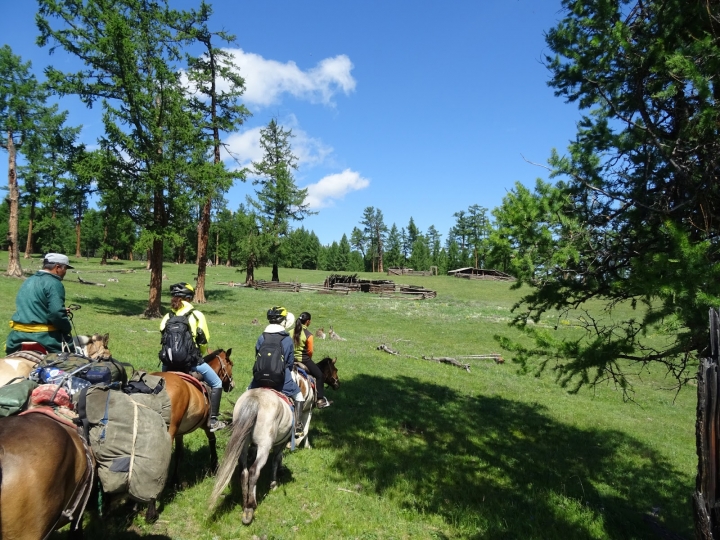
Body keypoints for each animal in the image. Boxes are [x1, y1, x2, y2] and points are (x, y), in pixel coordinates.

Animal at [153, 350, 236, 486]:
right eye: (231, 364)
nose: (232, 385)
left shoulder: (179, 432)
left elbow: (178, 452)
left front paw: (175, 480)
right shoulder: (207, 425)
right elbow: (212, 440)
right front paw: (215, 466)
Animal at [210, 388, 294, 524]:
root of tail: (254, 398)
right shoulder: (280, 444)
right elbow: (276, 460)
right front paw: (274, 483)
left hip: (242, 445)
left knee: (244, 471)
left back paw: (245, 502)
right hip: (264, 446)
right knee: (254, 471)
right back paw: (251, 505)